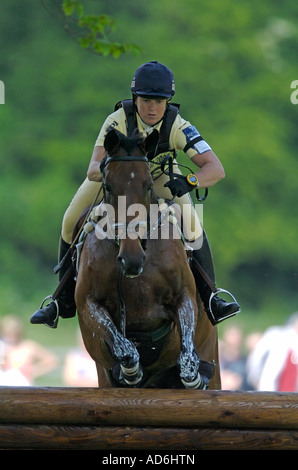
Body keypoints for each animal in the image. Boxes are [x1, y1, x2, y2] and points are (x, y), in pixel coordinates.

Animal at [73, 129, 220, 390]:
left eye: (148, 184)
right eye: (108, 187)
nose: (131, 259)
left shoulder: (184, 297)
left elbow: (188, 359)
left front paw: (194, 376)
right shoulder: (89, 303)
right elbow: (124, 348)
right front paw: (130, 372)